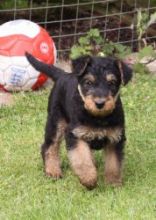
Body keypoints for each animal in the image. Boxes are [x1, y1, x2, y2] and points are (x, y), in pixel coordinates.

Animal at [25, 52, 133, 189]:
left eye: (112, 83)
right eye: (88, 82)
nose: (100, 103)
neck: (97, 117)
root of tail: (63, 74)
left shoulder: (115, 138)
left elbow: (114, 164)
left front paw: (113, 184)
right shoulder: (75, 135)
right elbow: (82, 159)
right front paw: (89, 179)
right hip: (56, 122)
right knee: (49, 147)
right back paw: (53, 171)